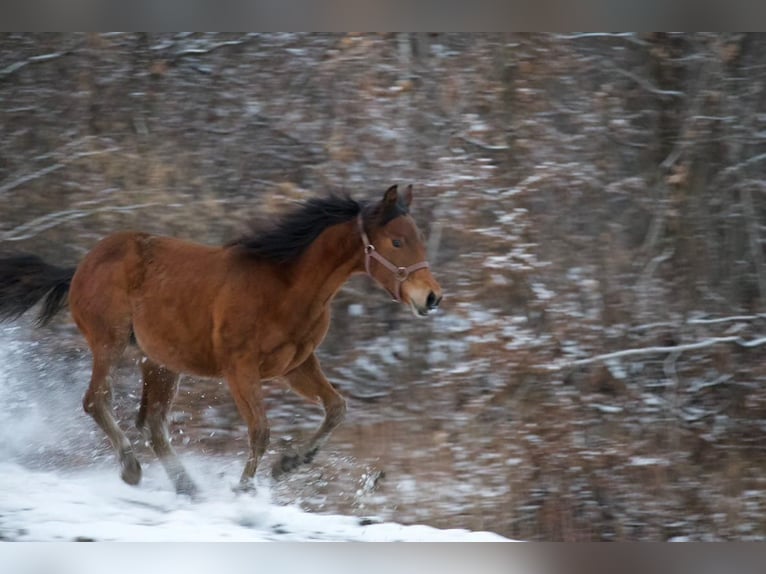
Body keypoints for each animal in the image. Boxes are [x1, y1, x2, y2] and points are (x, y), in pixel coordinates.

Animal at [0, 184, 442, 496]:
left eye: (420, 239)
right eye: (397, 242)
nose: (431, 297)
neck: (285, 287)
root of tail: (81, 266)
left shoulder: (297, 366)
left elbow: (336, 408)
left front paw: (290, 464)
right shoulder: (240, 370)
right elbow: (260, 431)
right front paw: (244, 489)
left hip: (161, 362)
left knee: (152, 422)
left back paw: (188, 487)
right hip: (109, 344)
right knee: (97, 400)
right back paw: (131, 469)